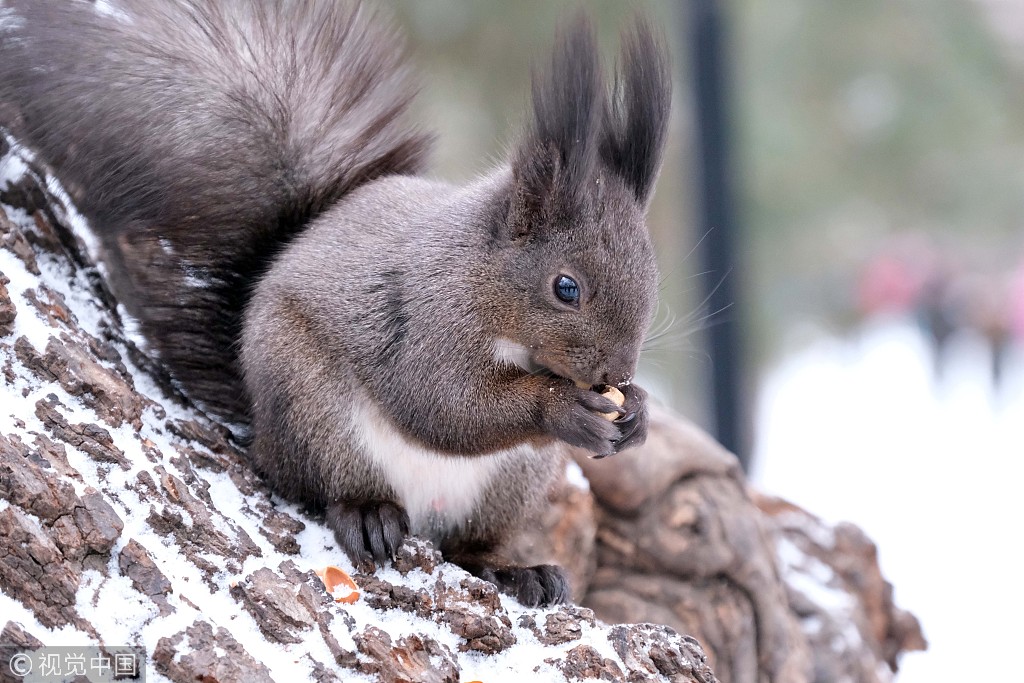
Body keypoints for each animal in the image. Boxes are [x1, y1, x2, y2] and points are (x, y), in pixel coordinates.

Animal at [2, 1, 671, 610]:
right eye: (566, 287)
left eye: (652, 271)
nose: (616, 372)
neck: (486, 282)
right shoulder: (426, 316)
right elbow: (442, 404)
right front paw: (561, 408)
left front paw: (636, 413)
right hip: (312, 406)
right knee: (323, 487)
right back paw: (367, 513)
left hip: (512, 480)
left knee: (467, 548)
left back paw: (516, 572)